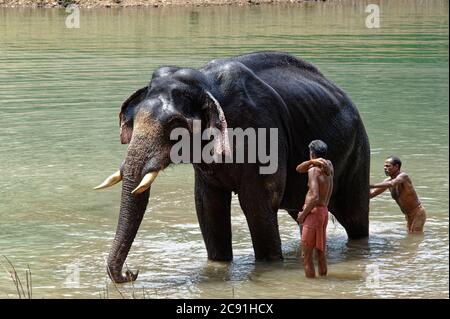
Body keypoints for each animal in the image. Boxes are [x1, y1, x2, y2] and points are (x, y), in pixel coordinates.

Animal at [95, 51, 370, 284]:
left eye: (175, 124)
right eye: (132, 120)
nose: (131, 273)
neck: (206, 83)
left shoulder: (262, 133)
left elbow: (256, 204)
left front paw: (269, 267)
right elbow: (208, 206)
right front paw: (218, 265)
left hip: (358, 151)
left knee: (355, 218)